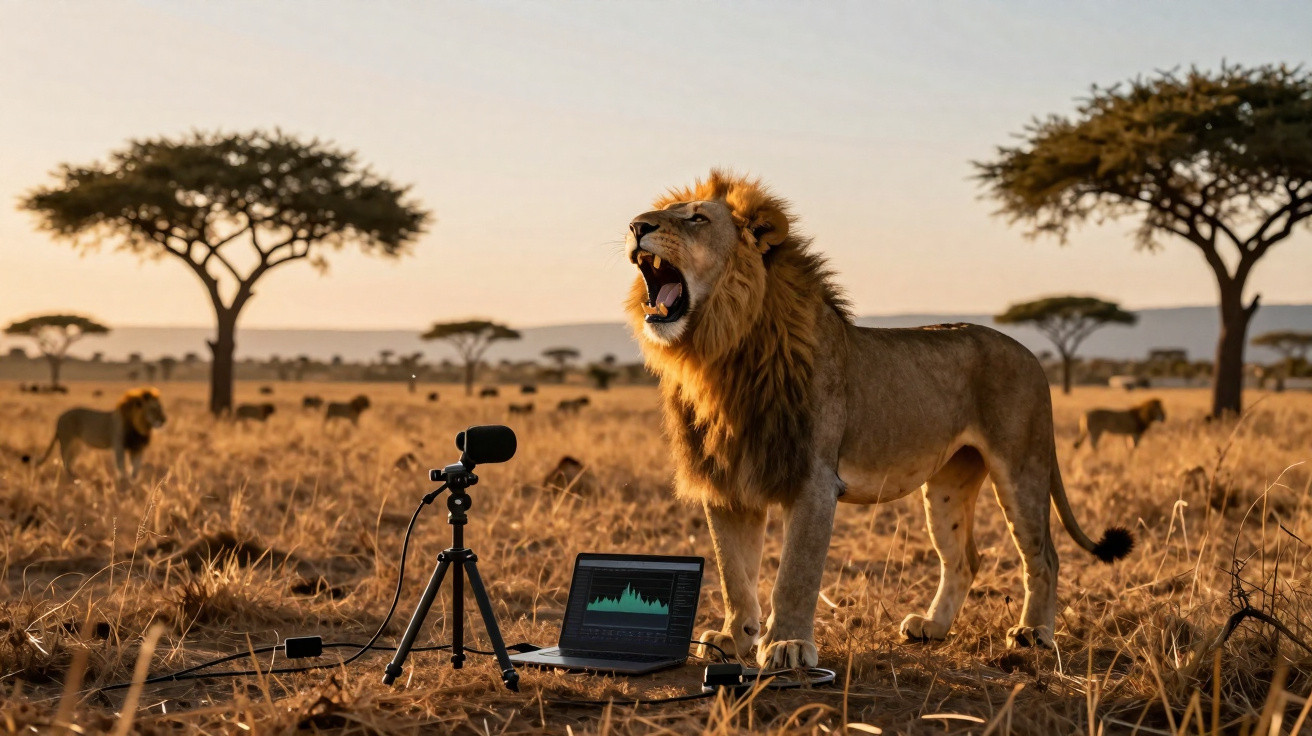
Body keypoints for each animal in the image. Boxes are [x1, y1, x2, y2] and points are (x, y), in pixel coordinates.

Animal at [23, 387, 166, 480]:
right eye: (154, 409)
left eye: (161, 408)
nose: (164, 419)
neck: (141, 426)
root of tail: (60, 417)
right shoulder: (119, 445)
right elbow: (121, 466)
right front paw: (124, 482)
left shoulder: (137, 447)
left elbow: (135, 468)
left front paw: (132, 482)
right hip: (66, 441)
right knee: (65, 460)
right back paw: (71, 479)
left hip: (78, 444)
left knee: (70, 460)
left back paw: (75, 477)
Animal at [624, 170, 1133, 669]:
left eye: (697, 218)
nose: (635, 225)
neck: (720, 353)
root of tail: (1032, 356)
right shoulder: (728, 482)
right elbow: (734, 571)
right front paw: (734, 637)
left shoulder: (813, 480)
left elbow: (795, 574)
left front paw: (788, 645)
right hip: (948, 484)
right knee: (963, 559)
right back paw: (932, 628)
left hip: (1022, 466)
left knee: (1044, 555)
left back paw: (1034, 634)